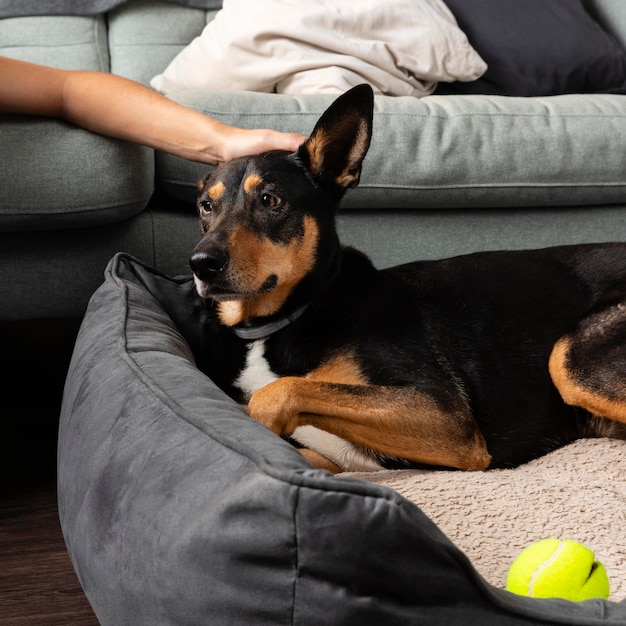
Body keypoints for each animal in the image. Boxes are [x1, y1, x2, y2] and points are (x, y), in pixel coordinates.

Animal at [188, 84, 624, 472]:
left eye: (270, 200)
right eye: (206, 206)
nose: (201, 263)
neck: (284, 318)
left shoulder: (447, 418)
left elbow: (278, 392)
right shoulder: (332, 458)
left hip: (571, 361)